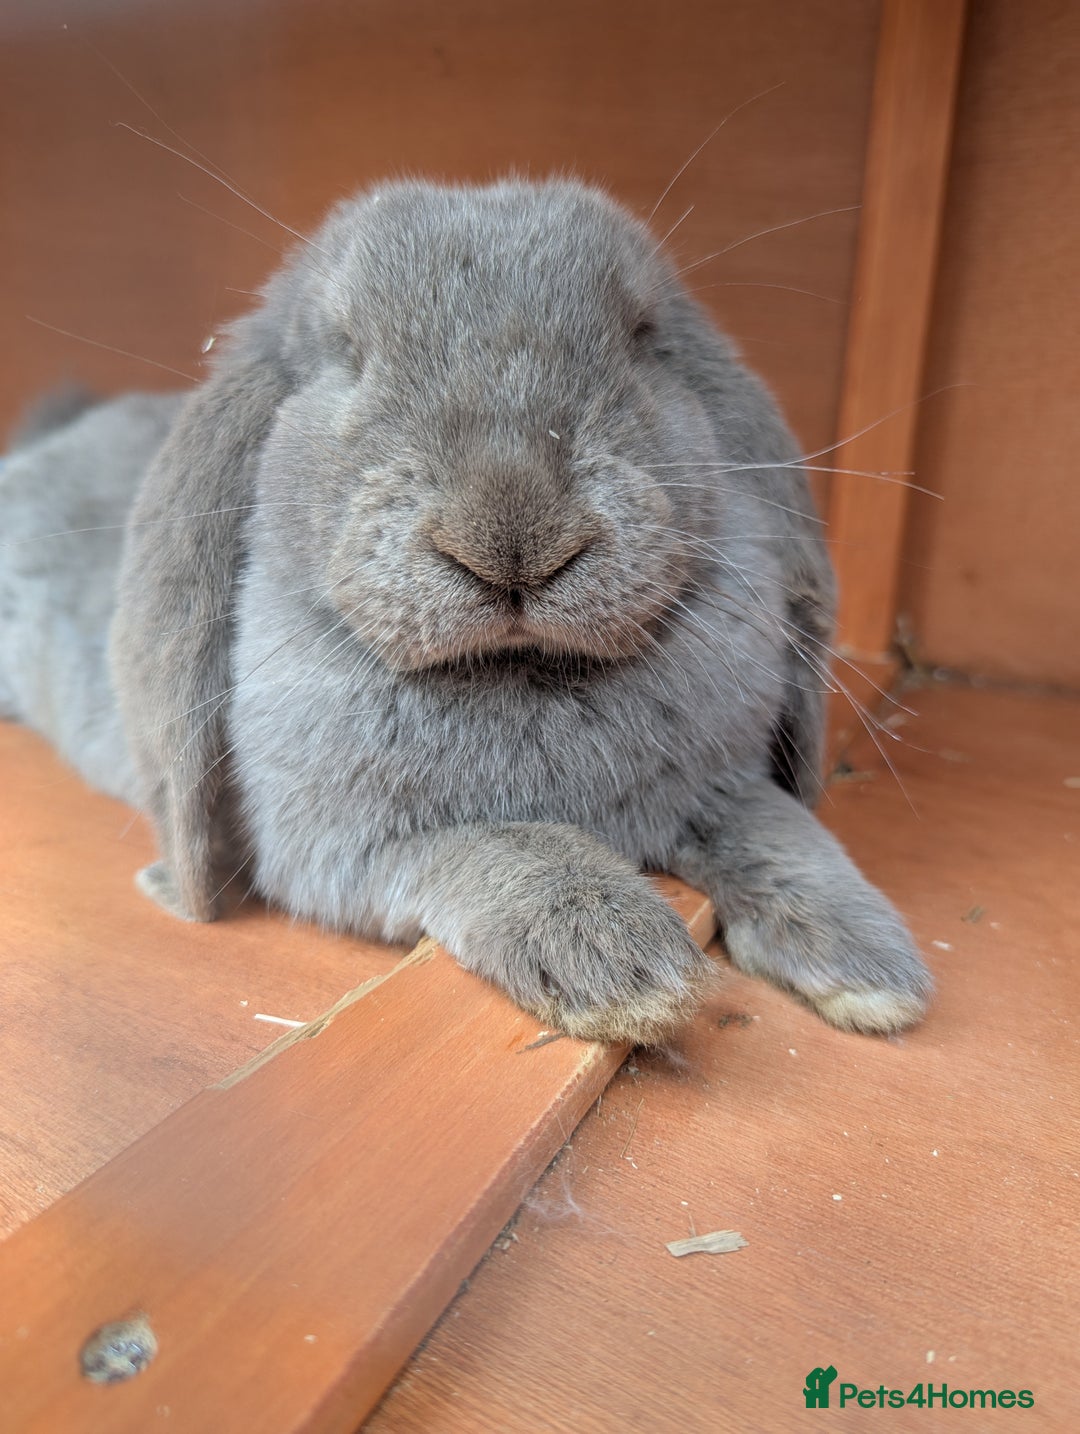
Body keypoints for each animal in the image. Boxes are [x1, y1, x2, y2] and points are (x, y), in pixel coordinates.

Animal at [1, 177, 932, 1044]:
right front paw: (620, 964)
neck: (517, 672)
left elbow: (782, 836)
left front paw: (873, 970)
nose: (513, 540)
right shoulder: (343, 845)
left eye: (641, 339)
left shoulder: (721, 787)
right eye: (349, 352)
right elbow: (502, 845)